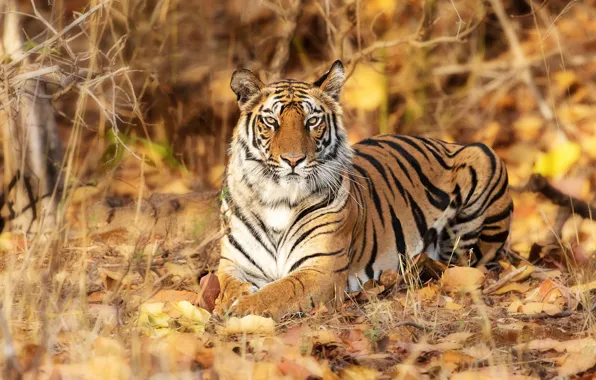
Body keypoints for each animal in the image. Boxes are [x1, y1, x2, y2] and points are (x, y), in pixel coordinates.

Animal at [214, 60, 512, 320]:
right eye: (271, 122)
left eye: (312, 122)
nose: (293, 160)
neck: (278, 199)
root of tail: (444, 142)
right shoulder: (233, 263)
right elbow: (225, 286)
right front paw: (228, 303)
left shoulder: (320, 269)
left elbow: (277, 292)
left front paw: (240, 309)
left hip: (483, 157)